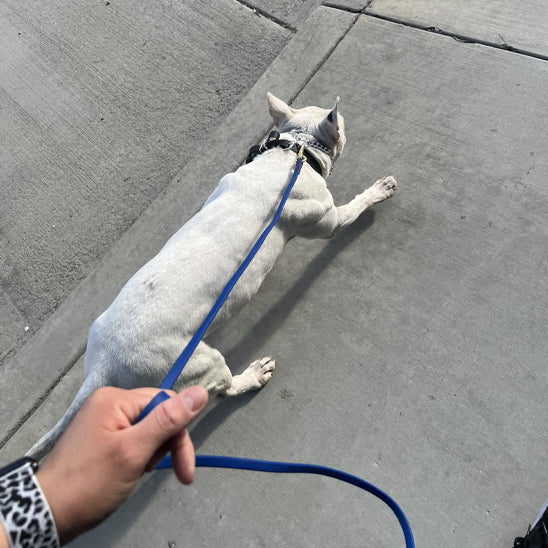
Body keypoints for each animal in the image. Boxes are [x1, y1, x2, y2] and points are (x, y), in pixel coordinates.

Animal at [27, 93, 396, 458]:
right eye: (342, 122)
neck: (295, 152)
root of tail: (102, 364)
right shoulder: (326, 218)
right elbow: (352, 209)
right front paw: (379, 190)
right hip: (198, 364)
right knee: (223, 388)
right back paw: (253, 375)